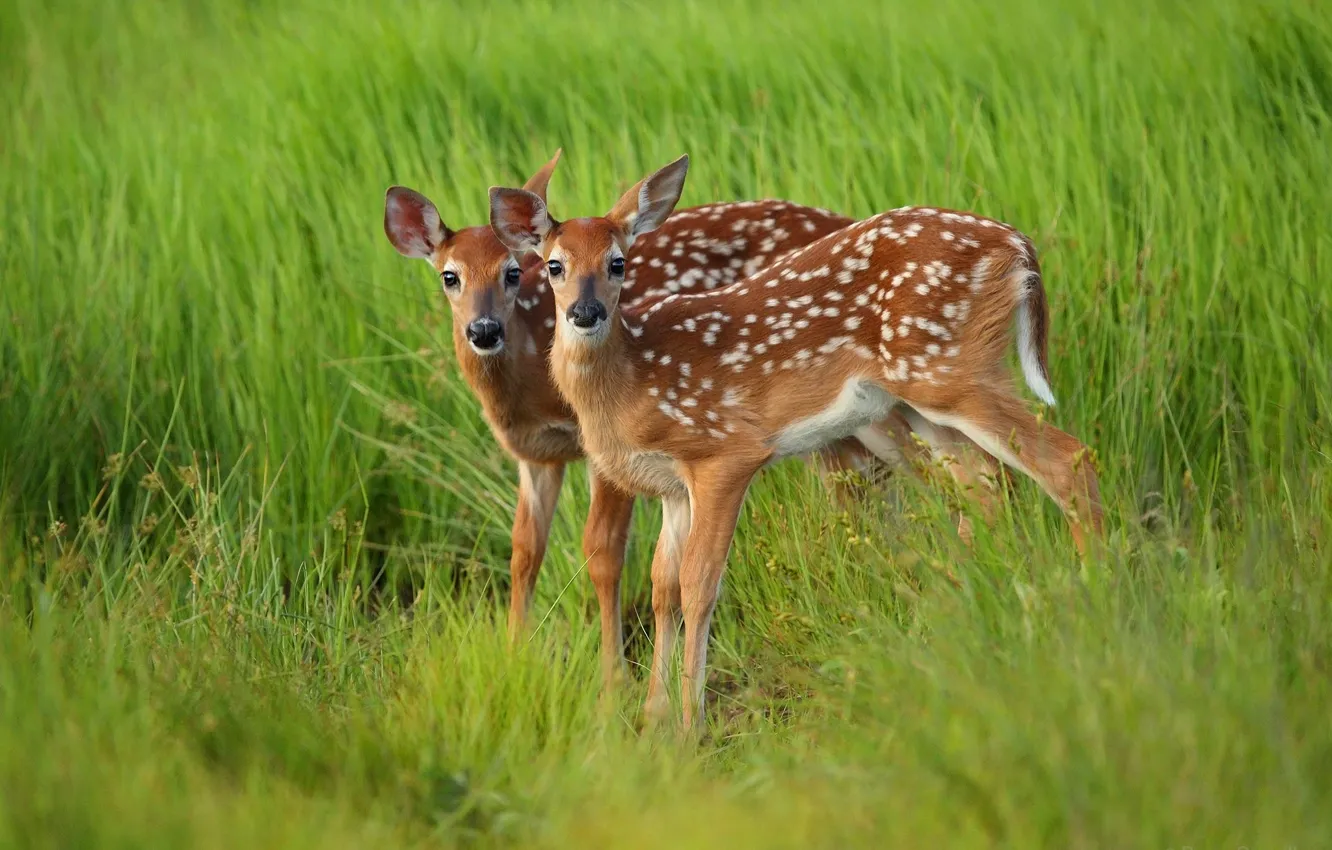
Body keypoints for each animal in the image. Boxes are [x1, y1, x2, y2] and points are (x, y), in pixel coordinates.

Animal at [487, 154, 1105, 732]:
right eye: (555, 265)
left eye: (618, 263)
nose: (585, 312)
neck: (631, 380)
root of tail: (1018, 246)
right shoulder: (671, 485)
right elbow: (663, 586)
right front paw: (652, 718)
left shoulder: (726, 451)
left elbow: (698, 584)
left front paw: (691, 726)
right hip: (925, 393)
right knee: (982, 480)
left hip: (948, 369)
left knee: (1064, 460)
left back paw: (1094, 592)